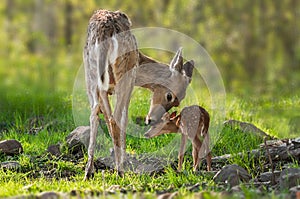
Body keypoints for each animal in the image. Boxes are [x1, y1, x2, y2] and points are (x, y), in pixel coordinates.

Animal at [82, 9, 195, 180]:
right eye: (170, 96)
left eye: (178, 102)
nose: (151, 120)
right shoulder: (130, 82)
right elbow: (124, 117)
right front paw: (123, 161)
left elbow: (105, 117)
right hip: (124, 75)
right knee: (115, 118)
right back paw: (120, 171)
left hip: (91, 75)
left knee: (95, 114)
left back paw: (89, 171)